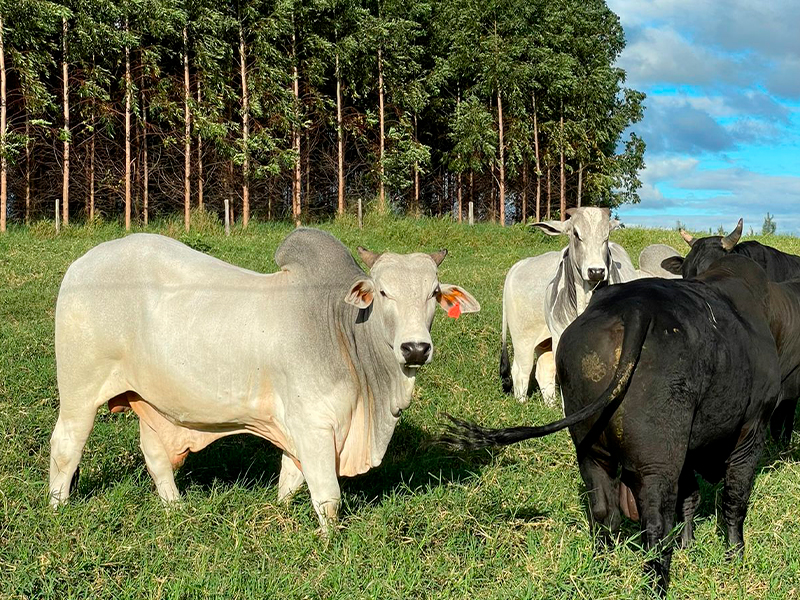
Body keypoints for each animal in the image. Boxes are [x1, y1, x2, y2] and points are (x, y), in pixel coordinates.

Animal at [50, 229, 478, 528]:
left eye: (433, 293)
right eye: (384, 292)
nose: (415, 349)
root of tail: (79, 265)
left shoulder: (297, 427)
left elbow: (290, 481)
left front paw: (281, 514)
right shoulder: (314, 424)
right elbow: (328, 496)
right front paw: (329, 541)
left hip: (152, 400)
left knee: (155, 456)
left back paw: (176, 508)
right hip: (79, 390)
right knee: (65, 446)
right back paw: (58, 507)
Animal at [438, 255, 780, 592]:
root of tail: (636, 306)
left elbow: (690, 497)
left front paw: (688, 545)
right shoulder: (752, 431)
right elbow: (734, 499)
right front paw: (735, 557)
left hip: (591, 448)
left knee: (603, 511)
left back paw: (601, 566)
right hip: (658, 460)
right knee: (656, 524)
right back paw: (656, 586)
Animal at [500, 207, 636, 408]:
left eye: (606, 235)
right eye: (576, 234)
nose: (596, 271)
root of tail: (519, 265)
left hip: (543, 341)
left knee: (543, 370)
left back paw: (550, 406)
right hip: (523, 338)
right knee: (521, 371)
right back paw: (522, 403)